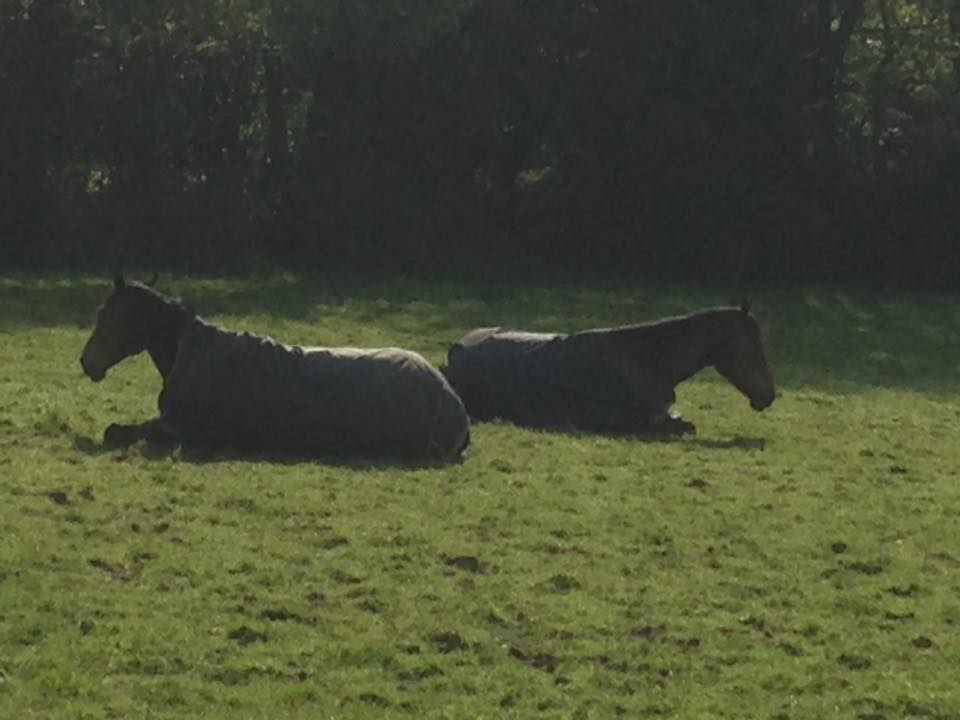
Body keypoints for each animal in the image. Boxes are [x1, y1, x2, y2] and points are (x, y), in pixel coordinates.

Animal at [80, 274, 470, 462]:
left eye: (104, 313)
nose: (86, 361)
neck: (188, 348)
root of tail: (456, 407)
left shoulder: (177, 429)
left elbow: (116, 431)